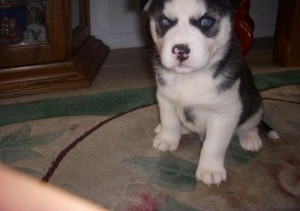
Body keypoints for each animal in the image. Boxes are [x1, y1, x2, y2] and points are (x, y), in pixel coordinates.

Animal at [143, 0, 278, 185]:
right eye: (164, 21)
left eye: (206, 21)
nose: (181, 51)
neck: (191, 77)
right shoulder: (165, 97)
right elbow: (169, 121)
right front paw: (167, 139)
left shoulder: (225, 113)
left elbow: (213, 146)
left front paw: (210, 170)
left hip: (255, 102)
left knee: (252, 122)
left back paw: (250, 138)